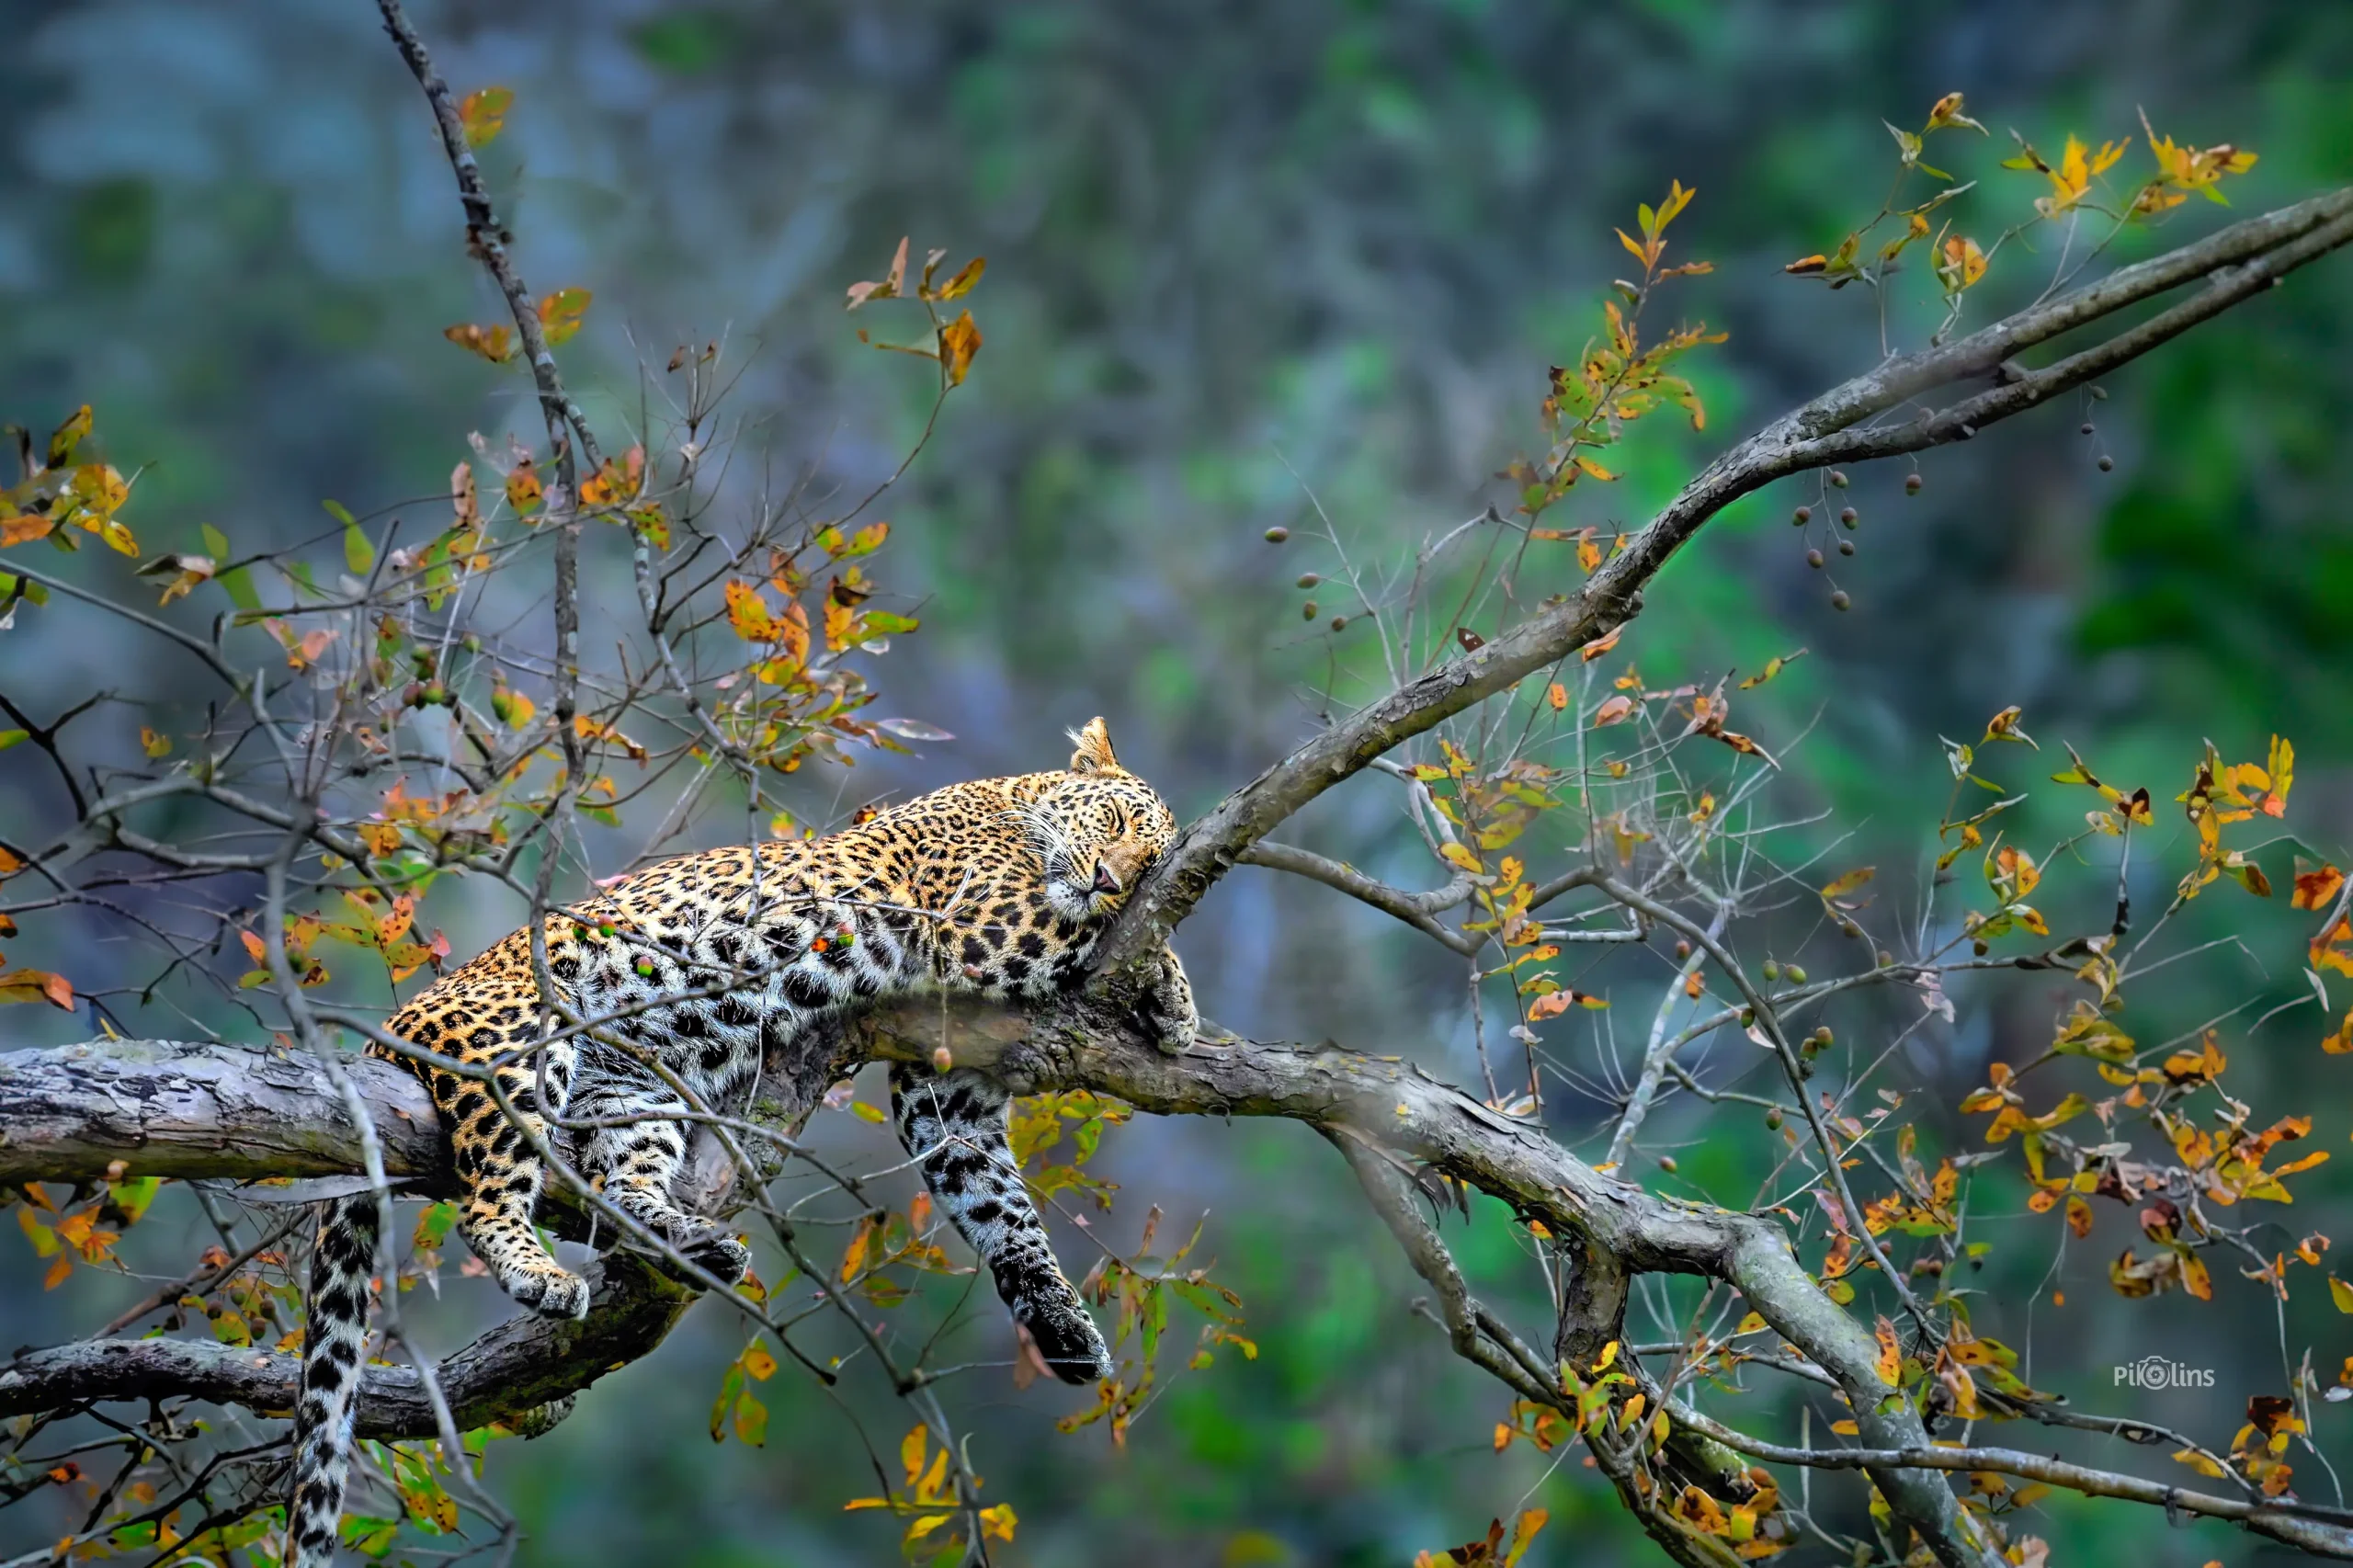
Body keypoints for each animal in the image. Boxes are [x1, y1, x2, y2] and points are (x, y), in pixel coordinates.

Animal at [284, 718, 1196, 1567]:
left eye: (1147, 864)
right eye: (1117, 823)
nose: (1111, 880)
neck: (1014, 803)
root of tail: (385, 1031)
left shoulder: (949, 1089)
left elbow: (1000, 1208)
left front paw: (1059, 1321)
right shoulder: (983, 919)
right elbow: (1096, 933)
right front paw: (1174, 995)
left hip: (630, 1093)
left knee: (620, 1186)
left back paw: (691, 1242)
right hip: (513, 1037)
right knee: (489, 1193)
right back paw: (540, 1271)